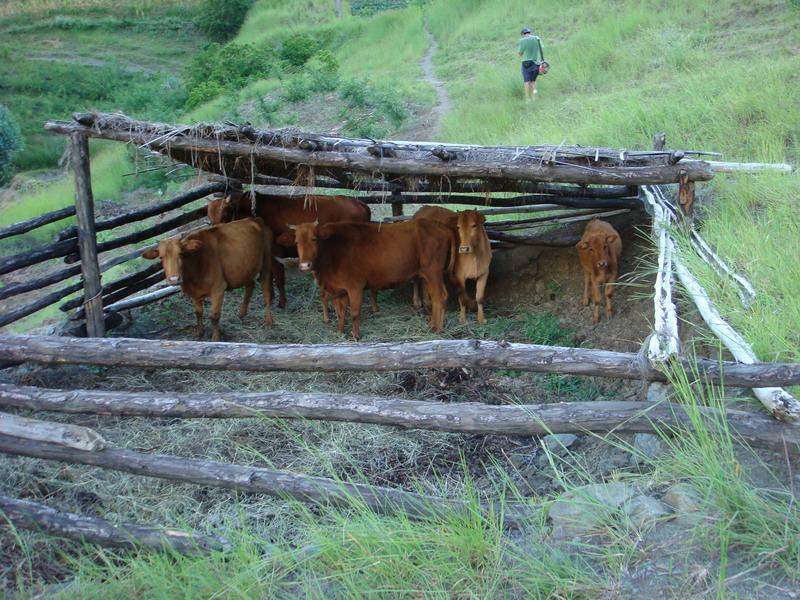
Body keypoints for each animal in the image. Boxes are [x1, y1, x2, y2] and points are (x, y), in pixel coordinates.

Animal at [140, 217, 272, 340]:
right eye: (161, 257)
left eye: (181, 254)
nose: (174, 279)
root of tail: (254, 219)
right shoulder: (194, 293)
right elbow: (198, 313)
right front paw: (199, 333)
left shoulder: (218, 289)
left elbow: (214, 316)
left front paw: (215, 338)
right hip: (245, 268)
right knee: (250, 285)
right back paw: (242, 314)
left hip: (266, 262)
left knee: (266, 290)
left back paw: (268, 320)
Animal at [206, 191, 368, 314]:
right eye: (209, 215)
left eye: (226, 212)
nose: (214, 230)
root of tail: (360, 203)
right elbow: (269, 277)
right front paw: (271, 298)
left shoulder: (275, 252)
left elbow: (278, 278)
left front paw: (281, 303)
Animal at [292, 220, 456, 340]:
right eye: (296, 242)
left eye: (314, 239)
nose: (304, 265)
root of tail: (439, 226)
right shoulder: (338, 290)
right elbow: (340, 313)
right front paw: (339, 331)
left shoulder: (355, 287)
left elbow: (354, 313)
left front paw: (356, 335)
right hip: (430, 275)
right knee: (440, 296)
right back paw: (433, 324)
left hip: (433, 272)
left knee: (439, 297)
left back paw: (436, 328)